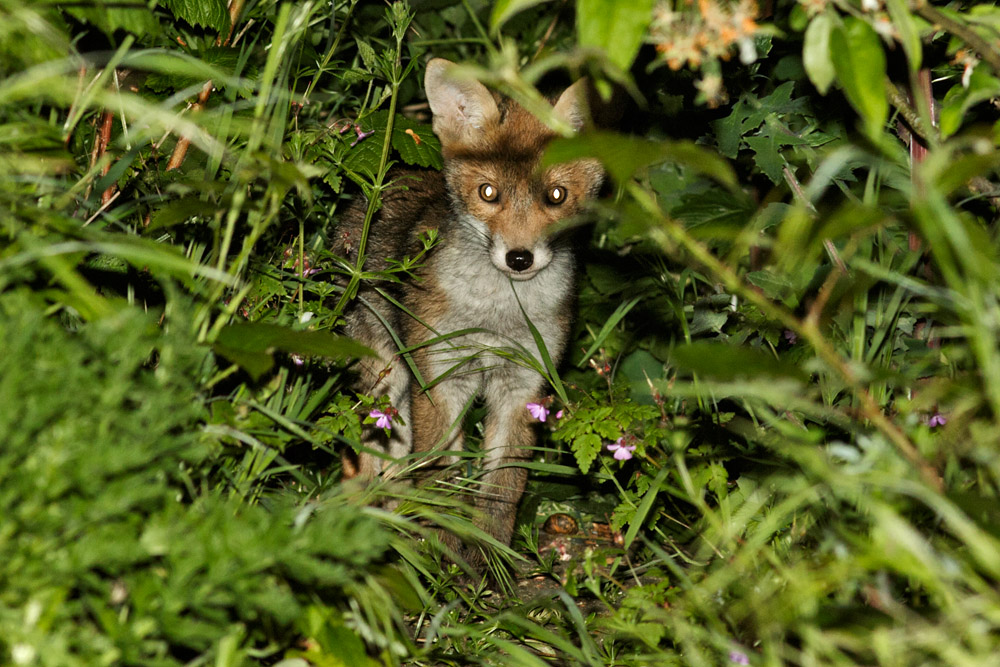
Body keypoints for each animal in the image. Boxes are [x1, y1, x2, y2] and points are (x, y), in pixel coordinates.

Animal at [335, 58, 604, 552]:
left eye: (556, 195)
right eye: (488, 193)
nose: (519, 258)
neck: (495, 317)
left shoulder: (523, 386)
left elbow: (501, 491)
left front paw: (487, 558)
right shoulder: (439, 377)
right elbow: (442, 477)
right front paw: (444, 551)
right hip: (387, 382)